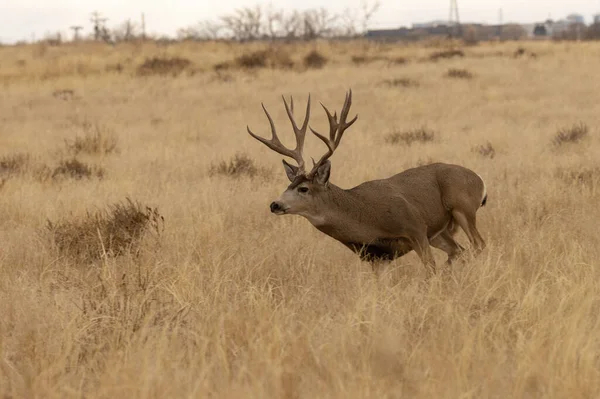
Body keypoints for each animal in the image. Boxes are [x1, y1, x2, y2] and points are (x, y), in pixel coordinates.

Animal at [247, 90, 488, 276]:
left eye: (303, 188)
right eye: (288, 185)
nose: (275, 204)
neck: (365, 218)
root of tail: (479, 180)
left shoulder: (416, 227)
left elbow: (430, 270)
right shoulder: (376, 256)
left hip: (462, 207)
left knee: (479, 245)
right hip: (440, 232)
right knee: (459, 250)